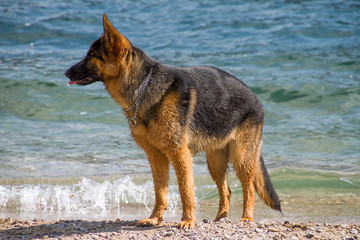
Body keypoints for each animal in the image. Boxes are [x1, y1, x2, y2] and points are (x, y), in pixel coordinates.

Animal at [66, 13, 282, 229]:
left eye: (91, 56)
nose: (66, 72)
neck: (143, 87)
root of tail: (256, 98)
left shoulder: (180, 154)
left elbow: (185, 190)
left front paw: (187, 220)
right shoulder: (155, 156)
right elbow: (160, 191)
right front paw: (155, 218)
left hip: (241, 157)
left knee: (248, 188)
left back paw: (247, 218)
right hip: (216, 162)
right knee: (226, 190)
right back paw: (219, 218)